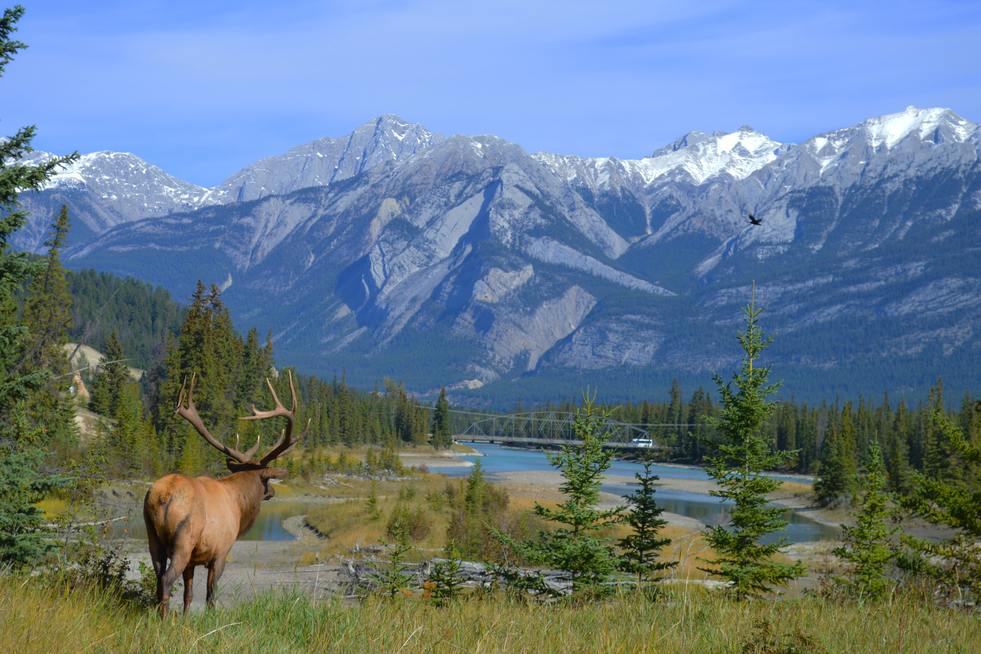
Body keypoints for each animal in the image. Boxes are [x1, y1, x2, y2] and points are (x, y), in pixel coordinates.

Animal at [143, 374, 306, 620]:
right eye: (267, 479)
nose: (272, 492)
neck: (239, 505)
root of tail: (164, 495)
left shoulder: (193, 560)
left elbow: (189, 595)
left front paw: (186, 620)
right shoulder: (220, 552)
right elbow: (211, 595)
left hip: (152, 536)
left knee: (158, 577)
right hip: (183, 539)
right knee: (166, 580)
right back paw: (163, 622)